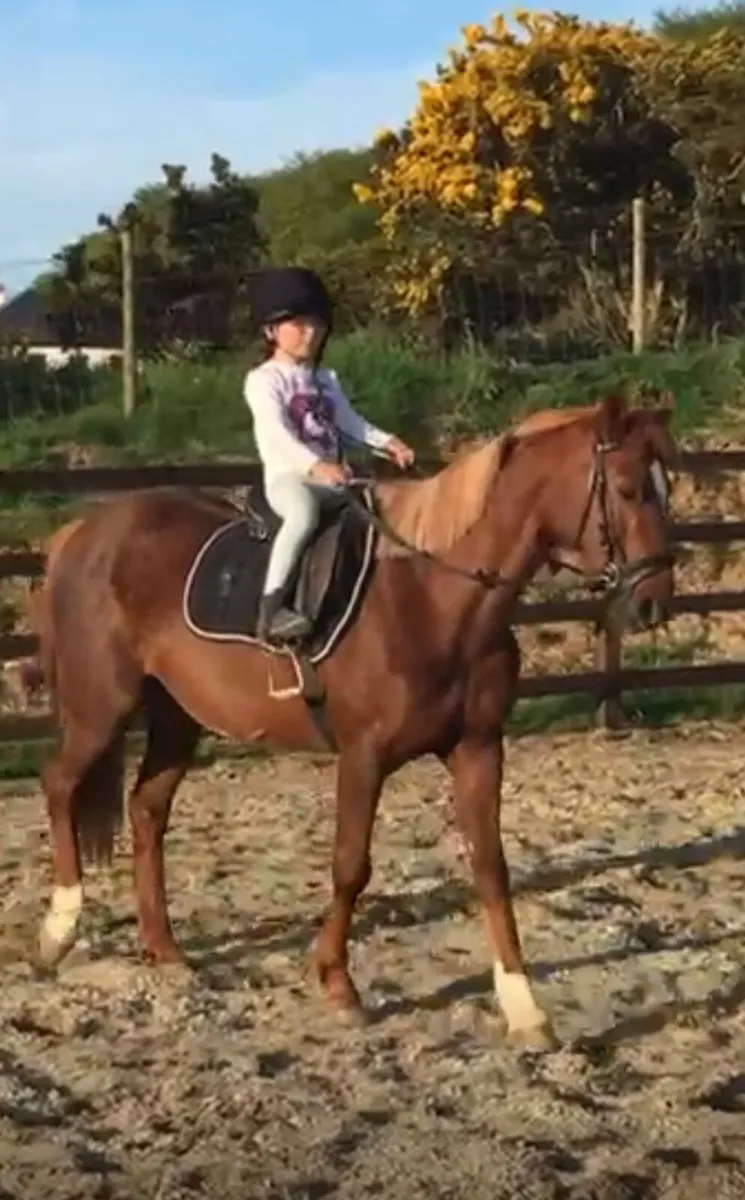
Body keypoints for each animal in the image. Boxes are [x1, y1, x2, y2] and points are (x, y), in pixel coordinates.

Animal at [30, 392, 677, 1049]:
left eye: (666, 485)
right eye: (628, 488)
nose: (655, 601)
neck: (434, 597)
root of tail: (82, 532)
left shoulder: (478, 748)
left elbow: (491, 866)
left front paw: (524, 1007)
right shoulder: (364, 755)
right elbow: (350, 866)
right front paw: (338, 984)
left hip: (177, 716)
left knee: (147, 811)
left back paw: (164, 949)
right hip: (100, 707)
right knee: (60, 787)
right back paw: (58, 931)